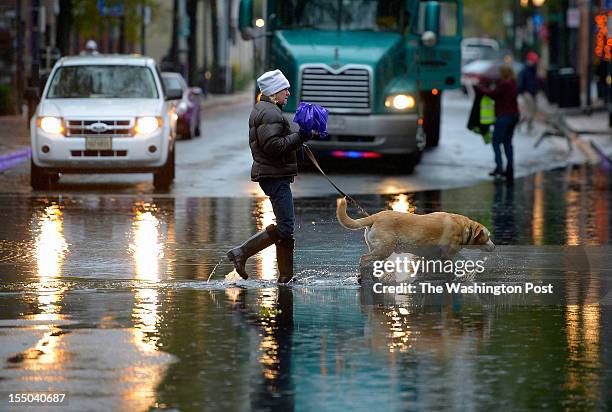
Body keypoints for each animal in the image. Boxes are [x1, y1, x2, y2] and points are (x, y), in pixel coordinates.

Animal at [338, 197, 494, 280]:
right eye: (488, 236)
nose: (494, 246)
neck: (465, 228)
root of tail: (374, 217)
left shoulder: (430, 257)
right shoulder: (447, 256)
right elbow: (451, 269)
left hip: (380, 251)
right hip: (384, 249)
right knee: (363, 258)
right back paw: (361, 277)